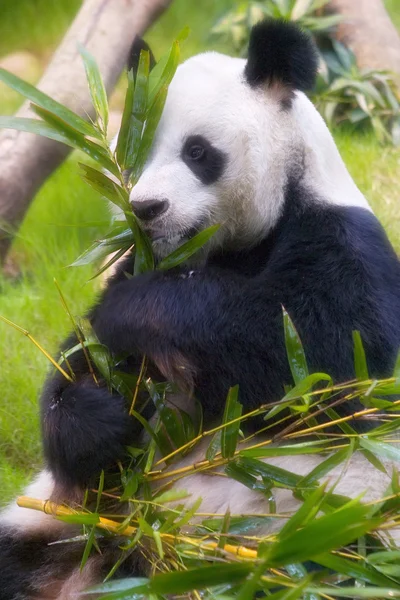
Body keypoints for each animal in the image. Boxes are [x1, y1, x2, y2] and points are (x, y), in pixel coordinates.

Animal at [0, 18, 400, 600]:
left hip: (325, 530)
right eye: (138, 149)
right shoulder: (136, 259)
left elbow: (319, 353)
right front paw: (102, 419)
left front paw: (134, 310)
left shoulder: (344, 242)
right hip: (52, 522)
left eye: (197, 152)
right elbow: (81, 363)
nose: (146, 209)